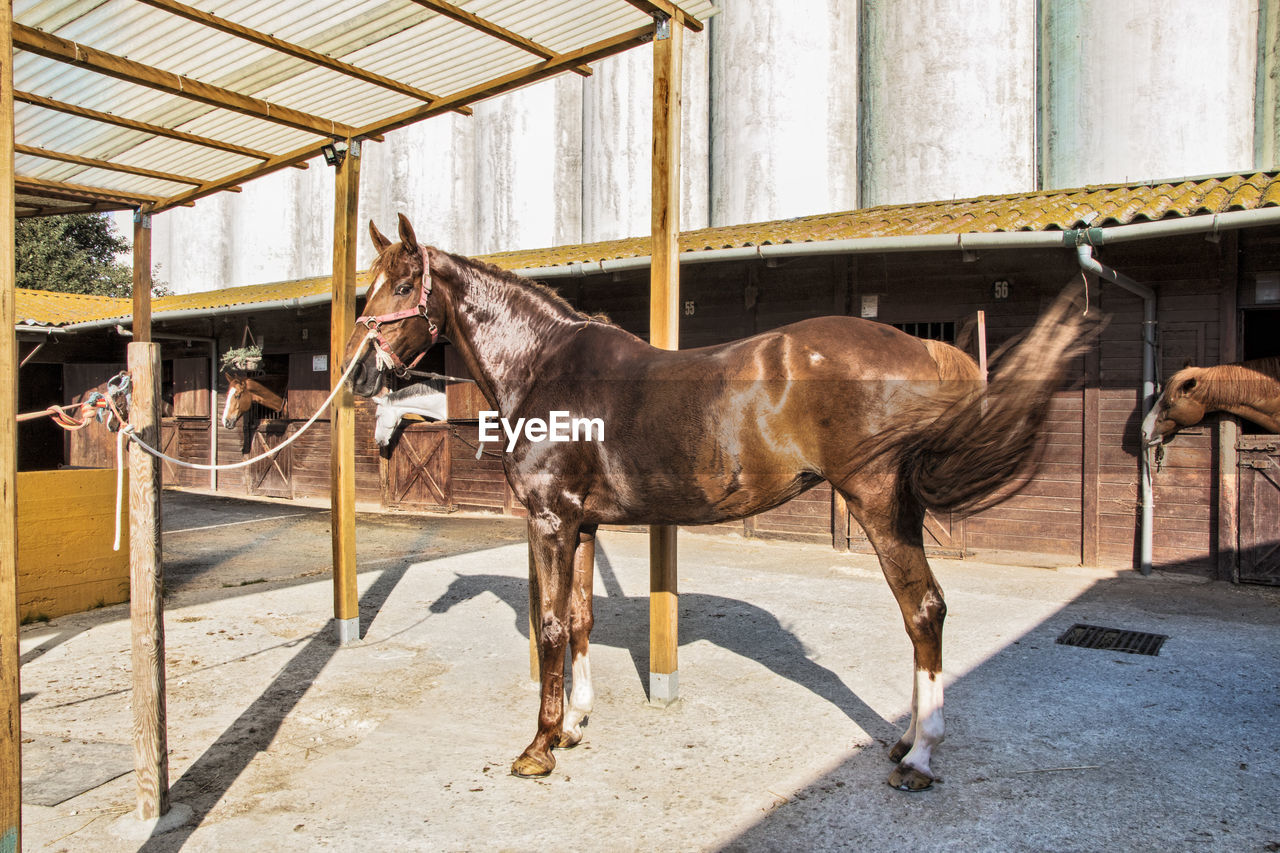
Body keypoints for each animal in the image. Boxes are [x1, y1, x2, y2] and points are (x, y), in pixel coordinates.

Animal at [343, 213, 1090, 788]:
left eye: (404, 286)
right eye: (368, 290)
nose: (360, 374)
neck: (546, 368)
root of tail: (918, 346)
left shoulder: (549, 521)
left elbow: (551, 626)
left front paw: (539, 746)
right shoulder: (580, 525)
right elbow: (581, 619)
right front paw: (577, 725)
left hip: (879, 505)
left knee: (924, 611)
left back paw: (922, 755)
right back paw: (907, 741)